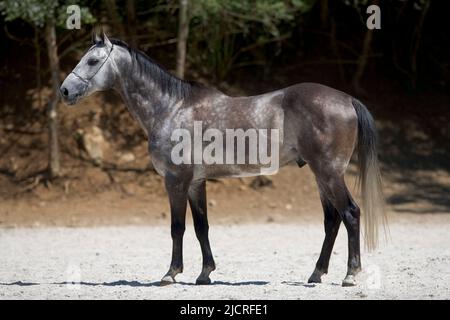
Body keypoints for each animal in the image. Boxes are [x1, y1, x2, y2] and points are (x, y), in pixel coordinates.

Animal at [59, 33, 386, 288]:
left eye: (92, 61)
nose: (64, 90)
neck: (172, 108)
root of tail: (346, 99)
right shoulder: (196, 182)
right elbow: (202, 226)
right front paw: (205, 274)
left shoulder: (175, 181)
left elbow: (177, 227)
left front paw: (171, 273)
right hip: (320, 176)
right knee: (332, 220)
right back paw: (316, 274)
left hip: (330, 173)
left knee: (350, 214)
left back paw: (350, 275)